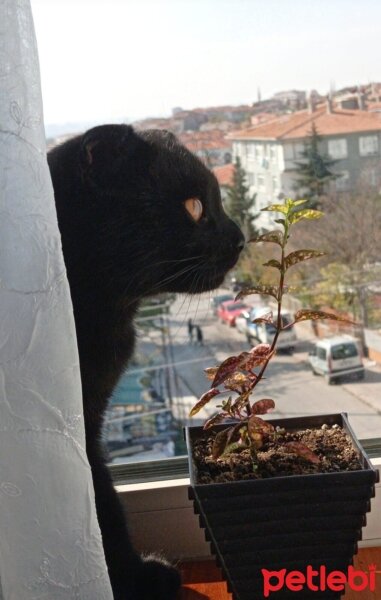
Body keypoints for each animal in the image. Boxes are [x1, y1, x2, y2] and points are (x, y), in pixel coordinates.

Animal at [47, 124, 243, 596]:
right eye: (194, 207)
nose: (241, 236)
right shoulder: (76, 426)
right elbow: (102, 502)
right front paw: (134, 578)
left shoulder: (87, 421)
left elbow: (101, 495)